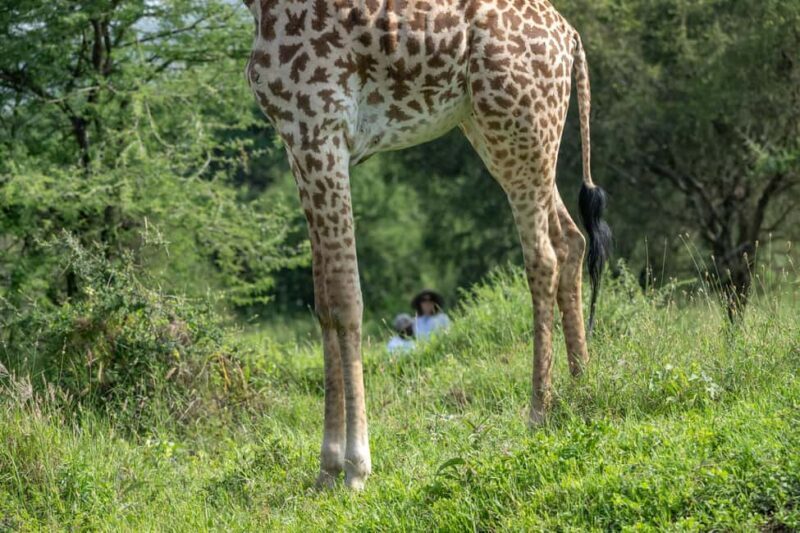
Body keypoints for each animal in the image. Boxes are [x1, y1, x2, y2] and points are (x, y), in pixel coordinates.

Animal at [243, 0, 611, 490]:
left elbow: (344, 298)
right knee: (571, 239)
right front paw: (327, 470)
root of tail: (569, 38)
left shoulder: (320, 129)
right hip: (497, 131)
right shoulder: (297, 141)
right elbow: (323, 303)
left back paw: (537, 414)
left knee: (543, 256)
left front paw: (355, 468)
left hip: (520, 126)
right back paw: (579, 388)